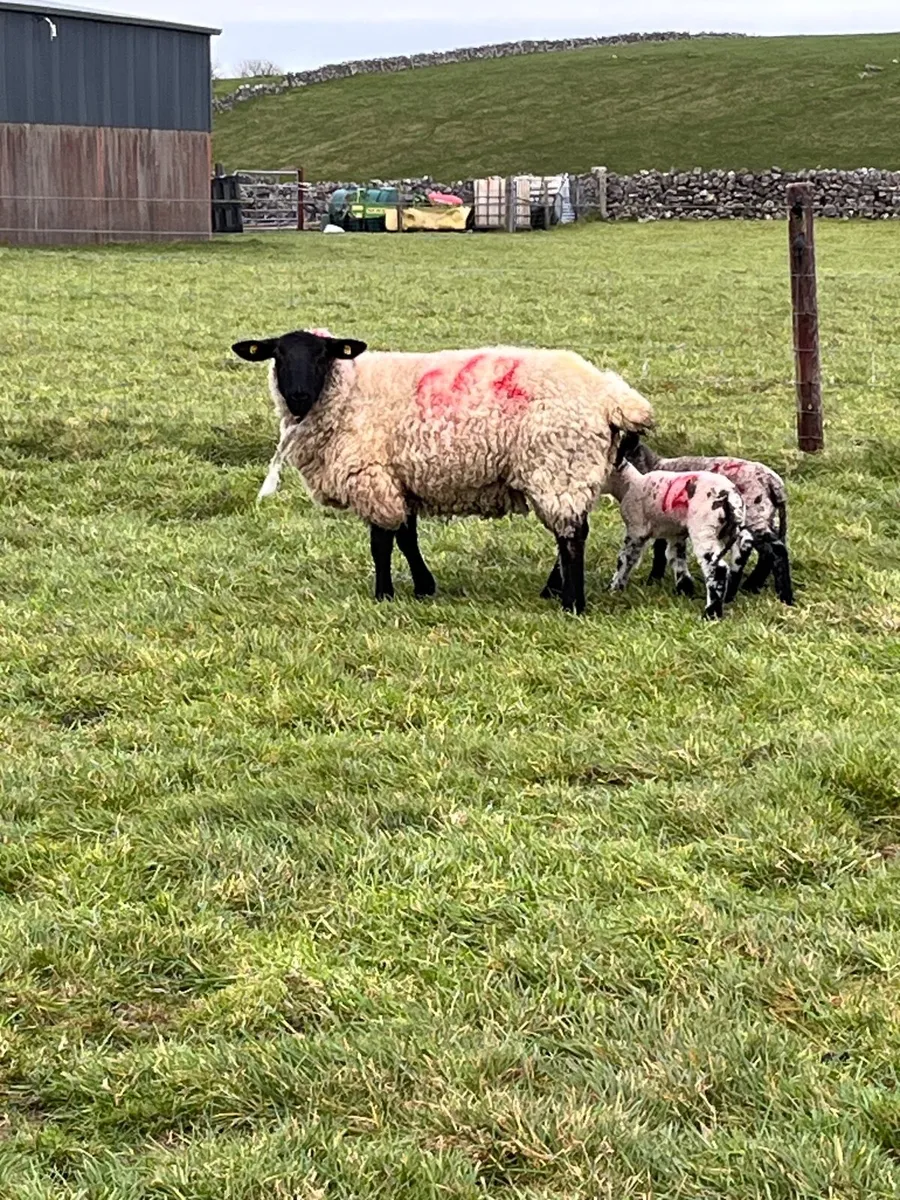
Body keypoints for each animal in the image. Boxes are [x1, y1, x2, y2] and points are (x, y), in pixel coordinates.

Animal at [231, 328, 654, 613]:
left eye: (323, 355)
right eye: (278, 356)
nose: (297, 396)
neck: (348, 393)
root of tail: (612, 394)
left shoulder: (373, 477)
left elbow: (380, 543)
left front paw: (383, 594)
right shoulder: (400, 479)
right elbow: (406, 538)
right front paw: (423, 586)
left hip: (558, 463)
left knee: (572, 536)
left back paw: (572, 602)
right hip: (570, 470)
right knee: (571, 530)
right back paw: (554, 589)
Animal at [605, 458, 753, 620]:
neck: (630, 484)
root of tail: (731, 495)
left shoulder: (636, 530)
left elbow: (625, 559)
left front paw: (614, 588)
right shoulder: (676, 533)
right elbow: (676, 558)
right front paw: (685, 589)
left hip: (704, 528)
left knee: (717, 568)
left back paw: (711, 613)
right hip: (732, 528)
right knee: (743, 549)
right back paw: (729, 596)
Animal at [618, 434, 794, 605]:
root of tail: (774, 483)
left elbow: (659, 549)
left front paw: (653, 579)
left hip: (754, 515)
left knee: (776, 550)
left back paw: (784, 596)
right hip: (767, 518)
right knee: (768, 553)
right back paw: (752, 587)